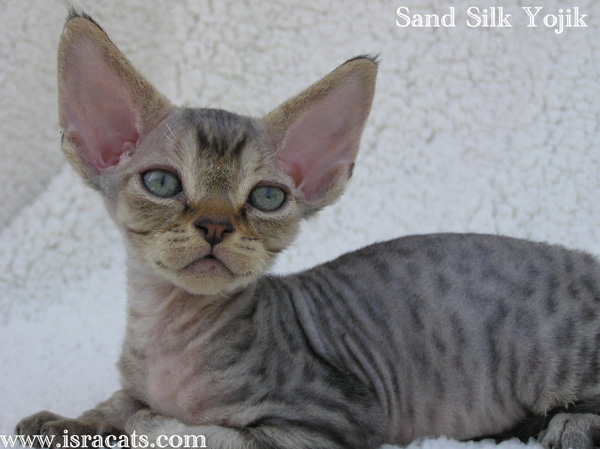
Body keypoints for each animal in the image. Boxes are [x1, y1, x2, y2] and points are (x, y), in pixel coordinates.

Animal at [14, 9, 600, 448]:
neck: (169, 331)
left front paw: (151, 423)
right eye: (161, 183)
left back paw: (565, 425)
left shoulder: (332, 417)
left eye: (266, 197)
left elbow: (206, 433)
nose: (214, 225)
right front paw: (67, 422)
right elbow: (116, 402)